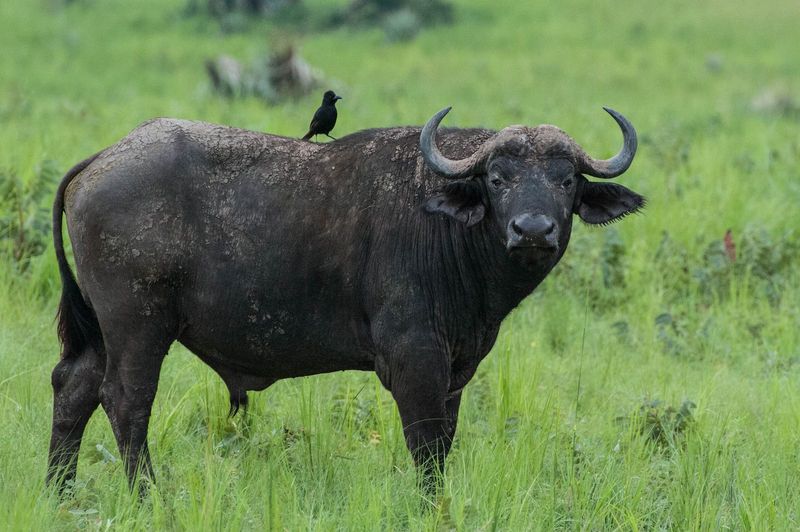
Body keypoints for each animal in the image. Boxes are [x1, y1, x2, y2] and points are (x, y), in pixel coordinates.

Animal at [48, 107, 644, 491]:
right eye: (498, 178)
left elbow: (446, 440)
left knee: (74, 387)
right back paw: (146, 495)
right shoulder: (414, 362)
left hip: (103, 332)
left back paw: (61, 490)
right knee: (125, 401)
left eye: (566, 181)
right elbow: (427, 447)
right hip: (138, 325)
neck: (446, 228)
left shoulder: (457, 368)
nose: (533, 230)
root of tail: (102, 158)